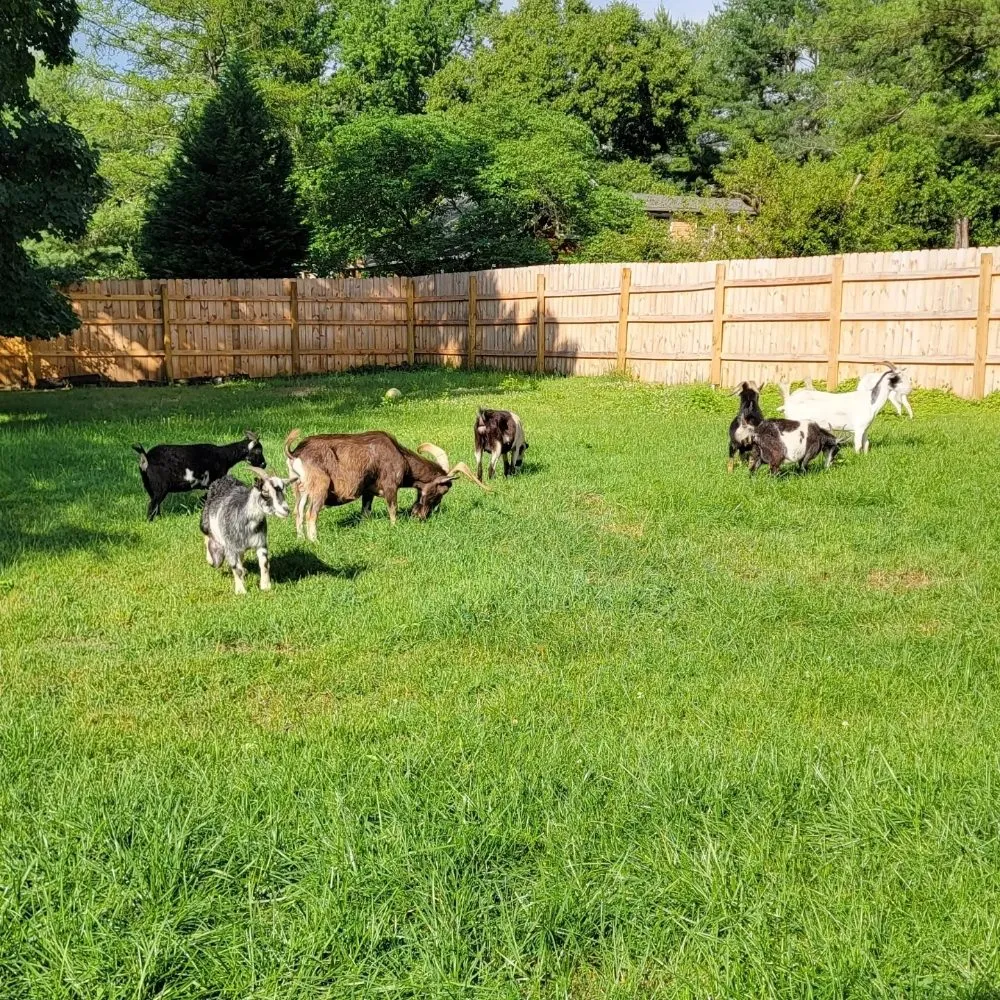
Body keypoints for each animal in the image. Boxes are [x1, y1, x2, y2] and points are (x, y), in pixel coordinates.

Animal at [133, 431, 266, 520]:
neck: (224, 456)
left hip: (149, 486)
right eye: (258, 451)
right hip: (160, 487)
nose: (264, 464)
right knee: (152, 506)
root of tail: (146, 458)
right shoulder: (214, 481)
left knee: (155, 505)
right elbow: (207, 498)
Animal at [284, 429, 487, 541]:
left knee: (298, 512)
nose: (421, 516)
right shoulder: (391, 486)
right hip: (320, 487)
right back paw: (315, 541)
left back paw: (300, 539)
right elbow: (393, 509)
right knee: (311, 514)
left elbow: (366, 511)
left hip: (300, 489)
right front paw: (394, 528)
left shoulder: (368, 491)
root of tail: (295, 453)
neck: (401, 458)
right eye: (439, 493)